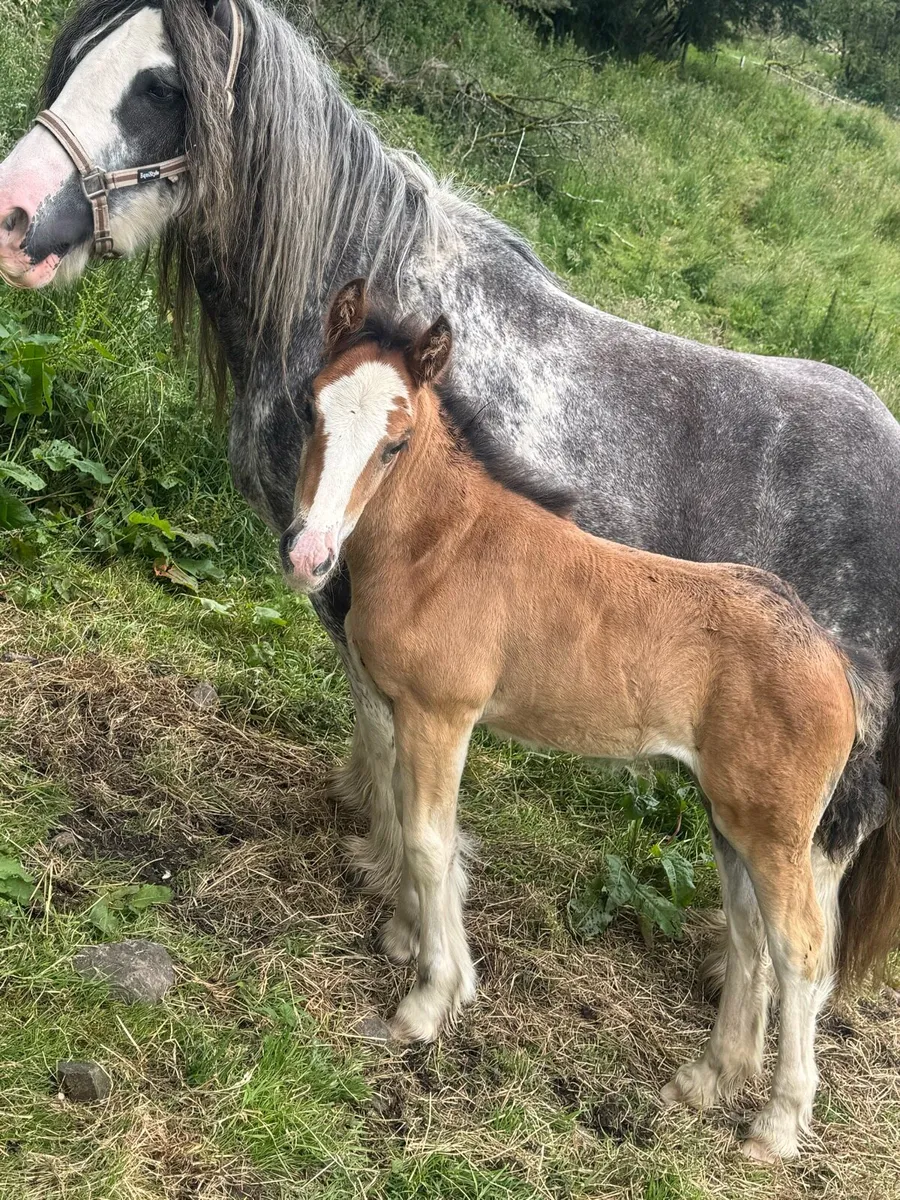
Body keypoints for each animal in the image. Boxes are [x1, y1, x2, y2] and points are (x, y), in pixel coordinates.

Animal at [280, 278, 890, 1161]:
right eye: (310, 408)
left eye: (396, 443)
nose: (308, 556)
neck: (441, 549)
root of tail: (838, 660)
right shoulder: (398, 711)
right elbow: (411, 826)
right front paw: (409, 938)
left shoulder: (441, 715)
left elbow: (431, 843)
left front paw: (429, 1002)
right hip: (730, 816)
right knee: (750, 938)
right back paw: (704, 1082)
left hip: (777, 830)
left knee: (803, 953)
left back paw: (775, 1126)